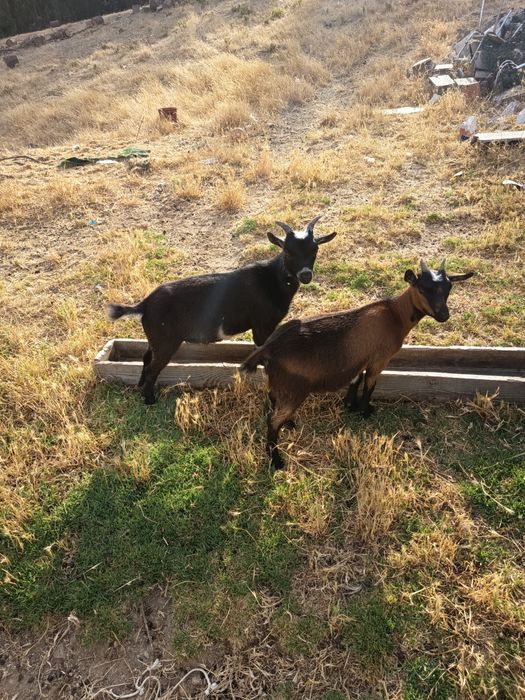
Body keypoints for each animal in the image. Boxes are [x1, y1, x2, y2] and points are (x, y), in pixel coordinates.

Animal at [108, 216, 336, 404]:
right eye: (288, 251)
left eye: (315, 250)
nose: (305, 275)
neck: (273, 279)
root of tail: (145, 304)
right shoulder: (262, 325)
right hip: (166, 342)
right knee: (153, 367)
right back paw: (149, 400)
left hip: (155, 339)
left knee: (146, 358)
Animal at [242, 260, 474, 469]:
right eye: (423, 288)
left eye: (449, 288)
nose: (444, 315)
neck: (394, 315)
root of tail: (268, 348)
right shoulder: (379, 359)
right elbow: (370, 384)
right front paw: (365, 411)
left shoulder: (360, 359)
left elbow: (355, 379)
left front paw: (350, 405)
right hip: (295, 388)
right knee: (272, 420)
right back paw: (276, 460)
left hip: (277, 383)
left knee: (273, 401)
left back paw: (289, 424)